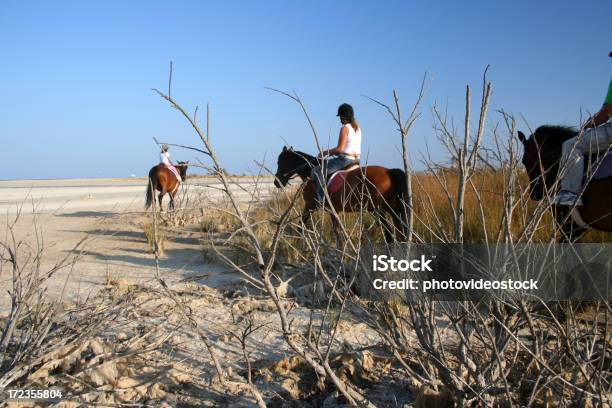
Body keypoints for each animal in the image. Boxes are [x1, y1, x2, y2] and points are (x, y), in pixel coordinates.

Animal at [274, 147, 408, 242]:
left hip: (379, 211)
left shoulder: (310, 206)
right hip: (392, 210)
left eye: (281, 162)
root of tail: (389, 172)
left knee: (390, 236)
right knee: (400, 233)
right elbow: (336, 231)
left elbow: (300, 227)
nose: (276, 182)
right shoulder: (333, 210)